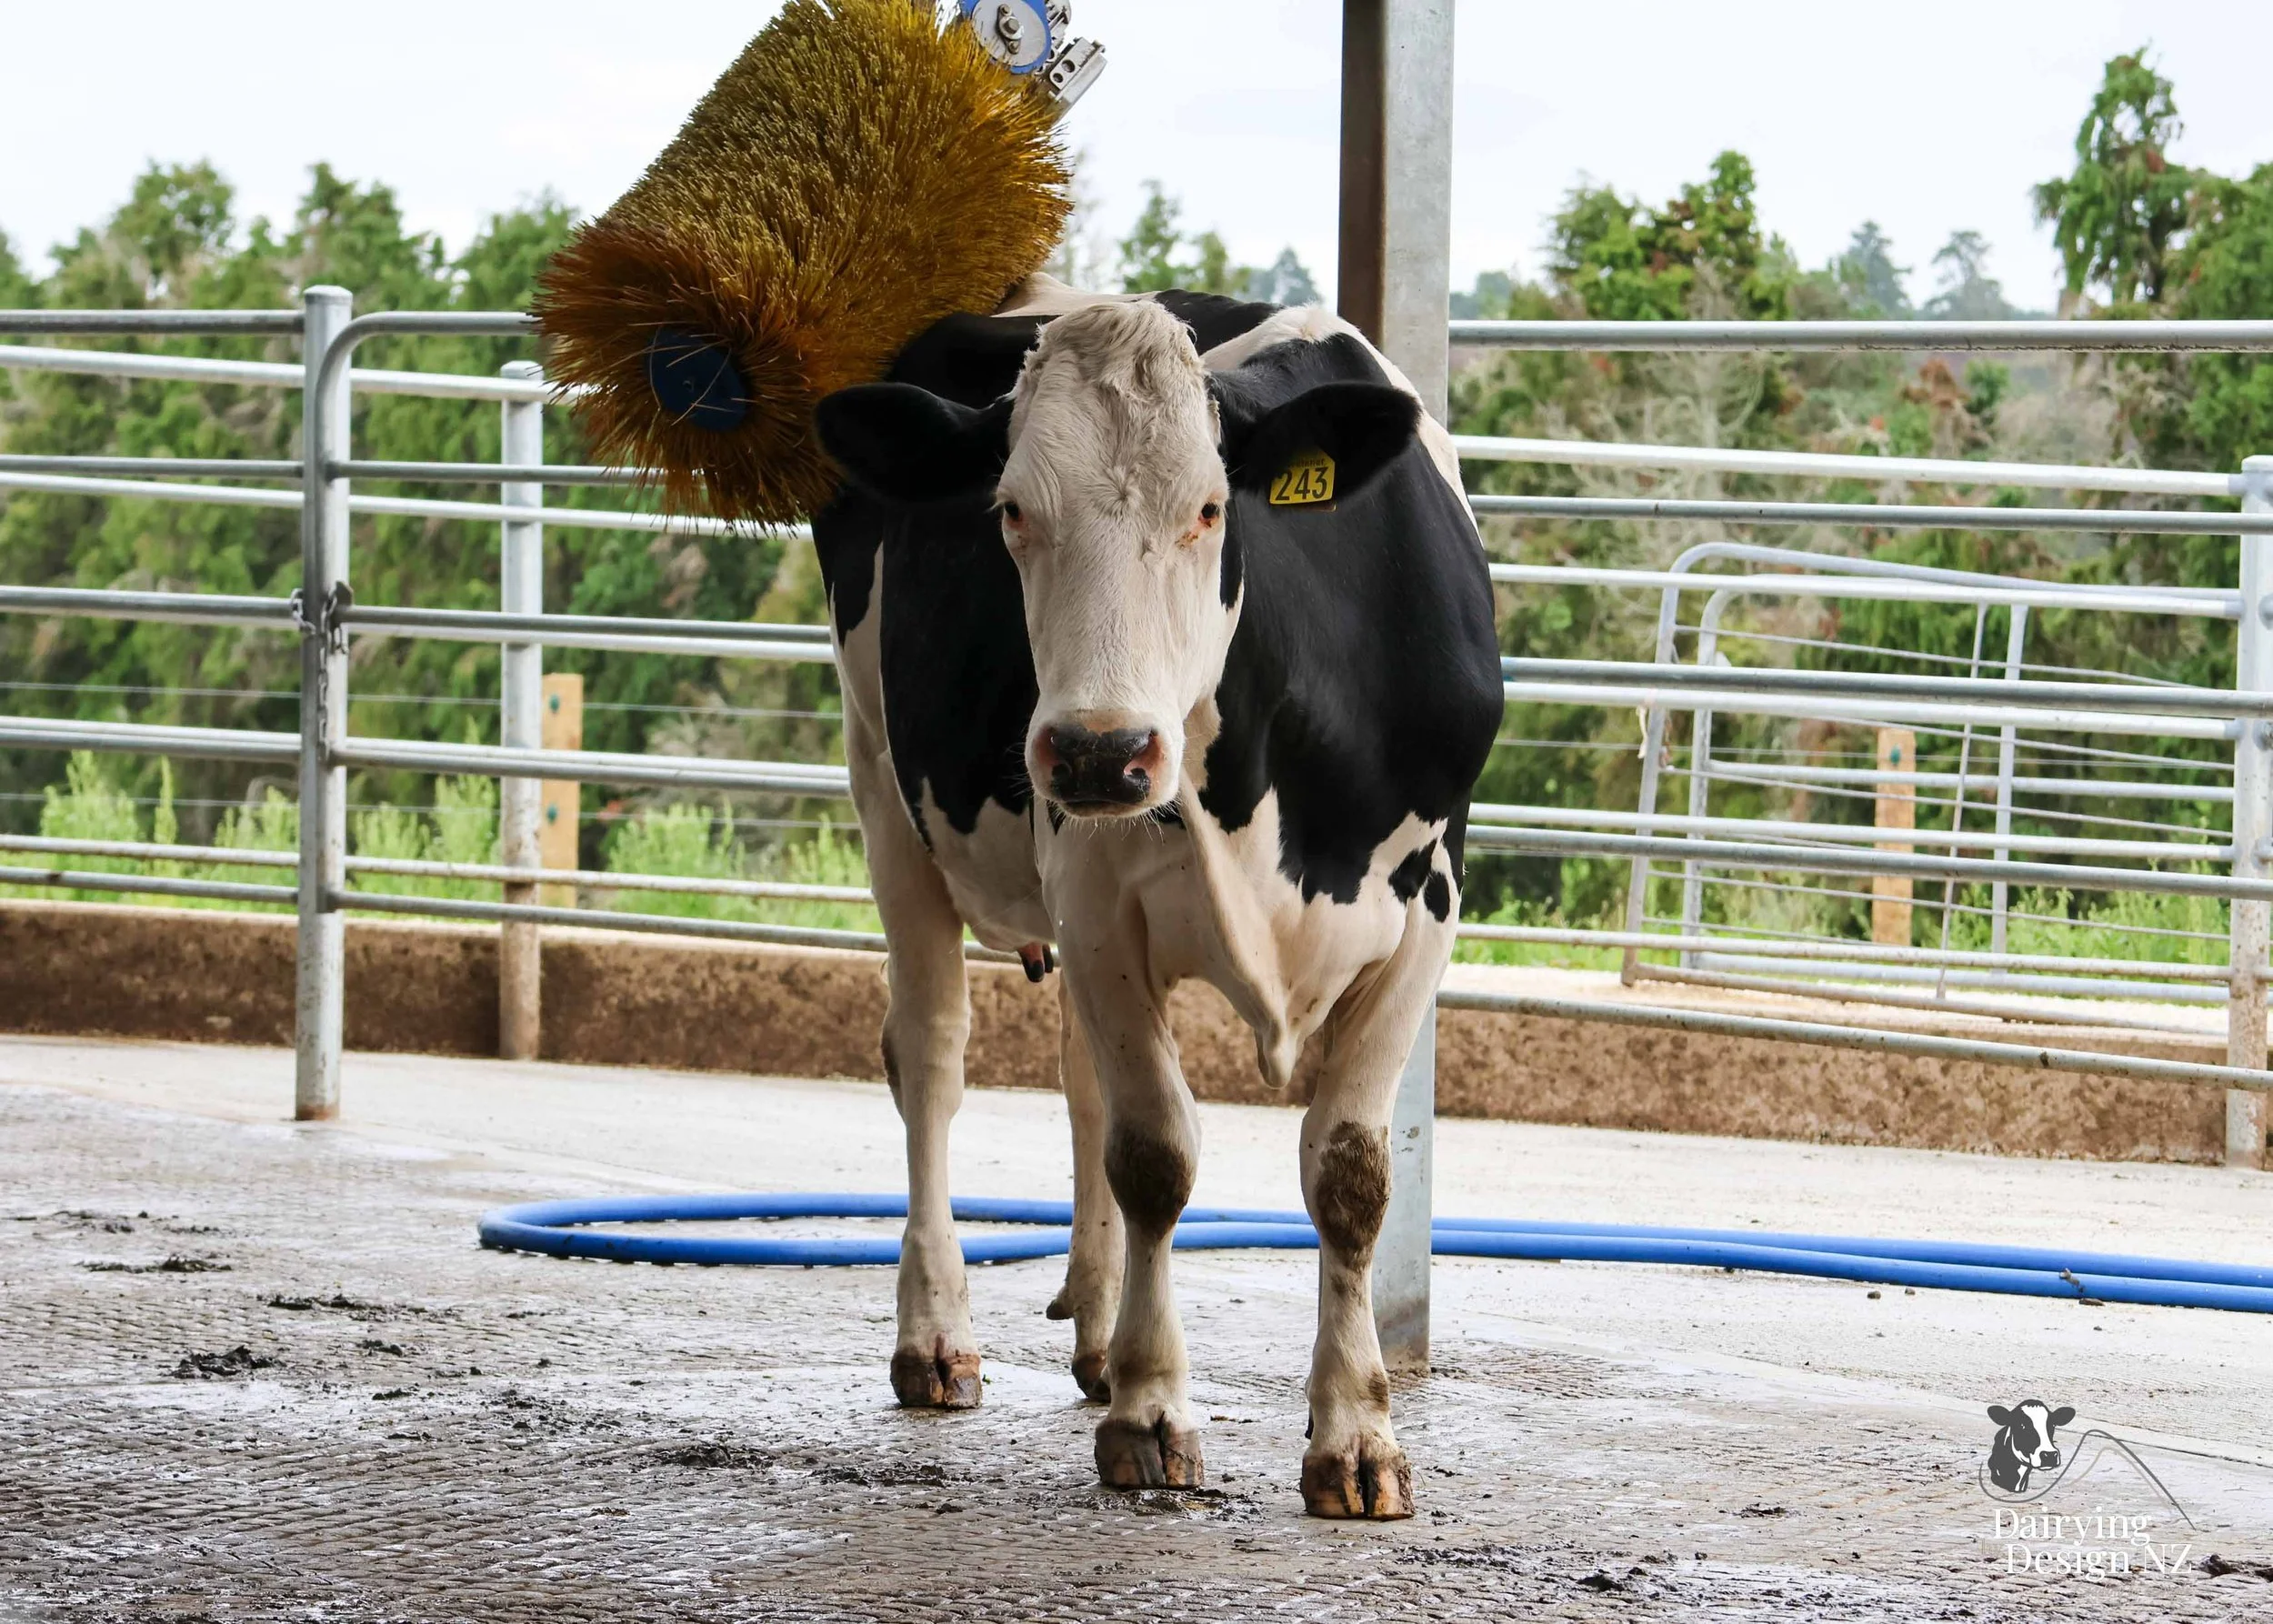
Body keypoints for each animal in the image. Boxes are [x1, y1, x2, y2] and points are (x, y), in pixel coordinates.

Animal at [810, 276, 1503, 1519]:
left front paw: (1355, 1436)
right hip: (882, 783)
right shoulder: (1093, 898)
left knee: (1080, 1079)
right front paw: (1151, 1413)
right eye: (1011, 511)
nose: (1098, 751)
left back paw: (1094, 1329)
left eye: (1210, 509)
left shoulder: (1428, 908)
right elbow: (1157, 1157)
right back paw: (938, 1335)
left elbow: (1350, 1174)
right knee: (930, 1057)